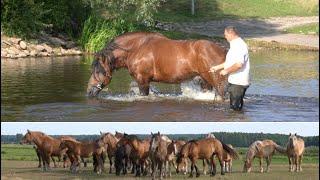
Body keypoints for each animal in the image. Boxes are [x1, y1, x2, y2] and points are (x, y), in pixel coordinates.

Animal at [87, 31, 228, 98]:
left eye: (98, 71)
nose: (89, 91)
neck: (137, 47)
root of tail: (222, 50)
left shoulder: (143, 80)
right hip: (205, 81)